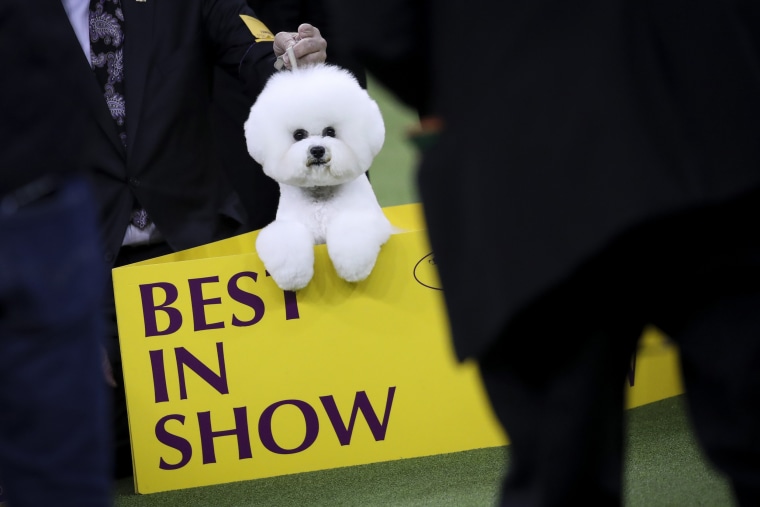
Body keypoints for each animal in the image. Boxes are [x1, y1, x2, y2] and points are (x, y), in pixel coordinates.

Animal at [245, 65, 392, 292]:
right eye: (299, 134)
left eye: (330, 131)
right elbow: (285, 239)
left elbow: (353, 229)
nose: (317, 150)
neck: (320, 194)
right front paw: (293, 276)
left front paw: (353, 267)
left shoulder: (372, 222)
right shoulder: (290, 225)